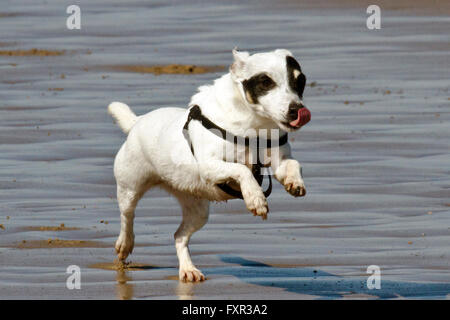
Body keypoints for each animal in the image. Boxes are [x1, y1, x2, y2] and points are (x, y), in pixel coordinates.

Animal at [108, 48, 312, 282]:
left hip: (197, 210)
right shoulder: (210, 166)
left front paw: (294, 182)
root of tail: (137, 122)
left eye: (300, 80)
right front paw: (256, 198)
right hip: (130, 187)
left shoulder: (279, 161)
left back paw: (188, 269)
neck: (256, 129)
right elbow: (242, 170)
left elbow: (293, 164)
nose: (297, 110)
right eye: (266, 81)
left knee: (179, 236)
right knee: (127, 216)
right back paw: (125, 245)